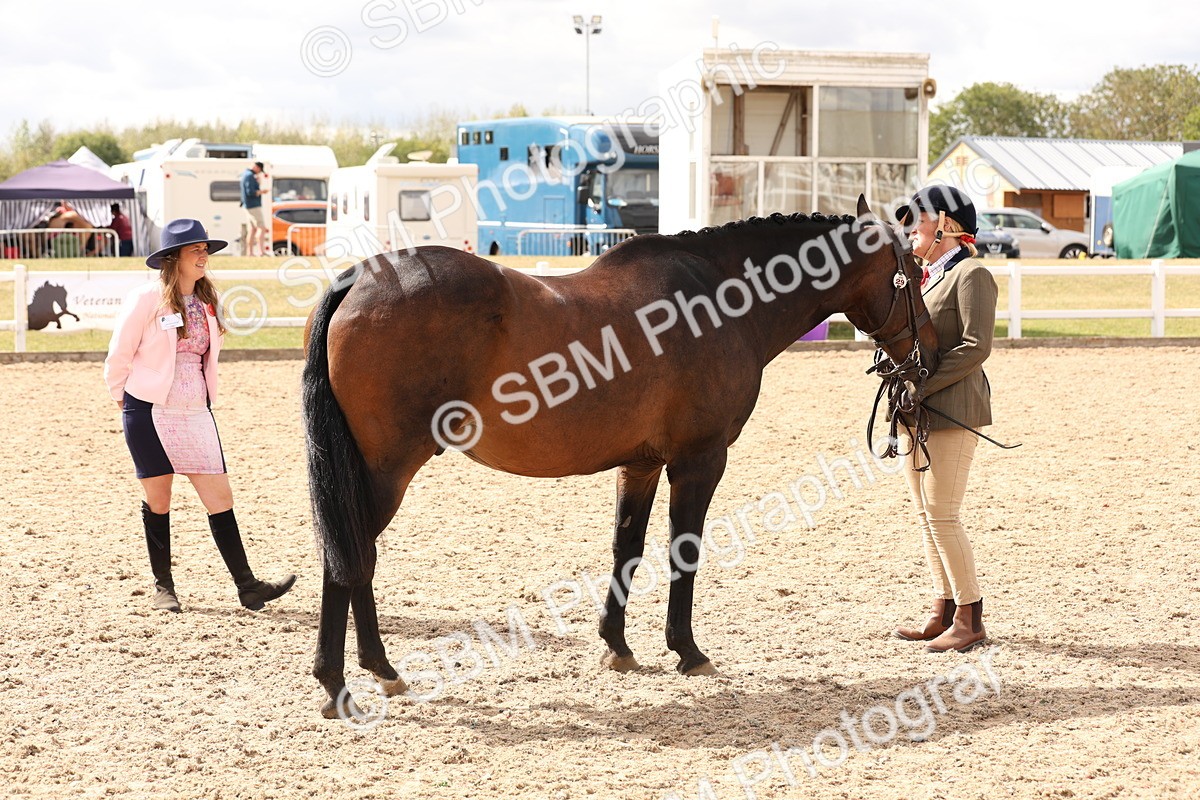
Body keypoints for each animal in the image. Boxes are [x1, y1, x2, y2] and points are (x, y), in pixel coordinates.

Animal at [301, 195, 939, 719]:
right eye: (911, 274)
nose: (928, 355)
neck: (718, 296)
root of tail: (359, 278)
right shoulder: (699, 460)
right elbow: (685, 550)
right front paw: (688, 651)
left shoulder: (642, 464)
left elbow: (626, 547)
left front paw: (618, 646)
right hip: (385, 473)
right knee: (349, 557)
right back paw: (345, 681)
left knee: (352, 557)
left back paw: (371, 673)